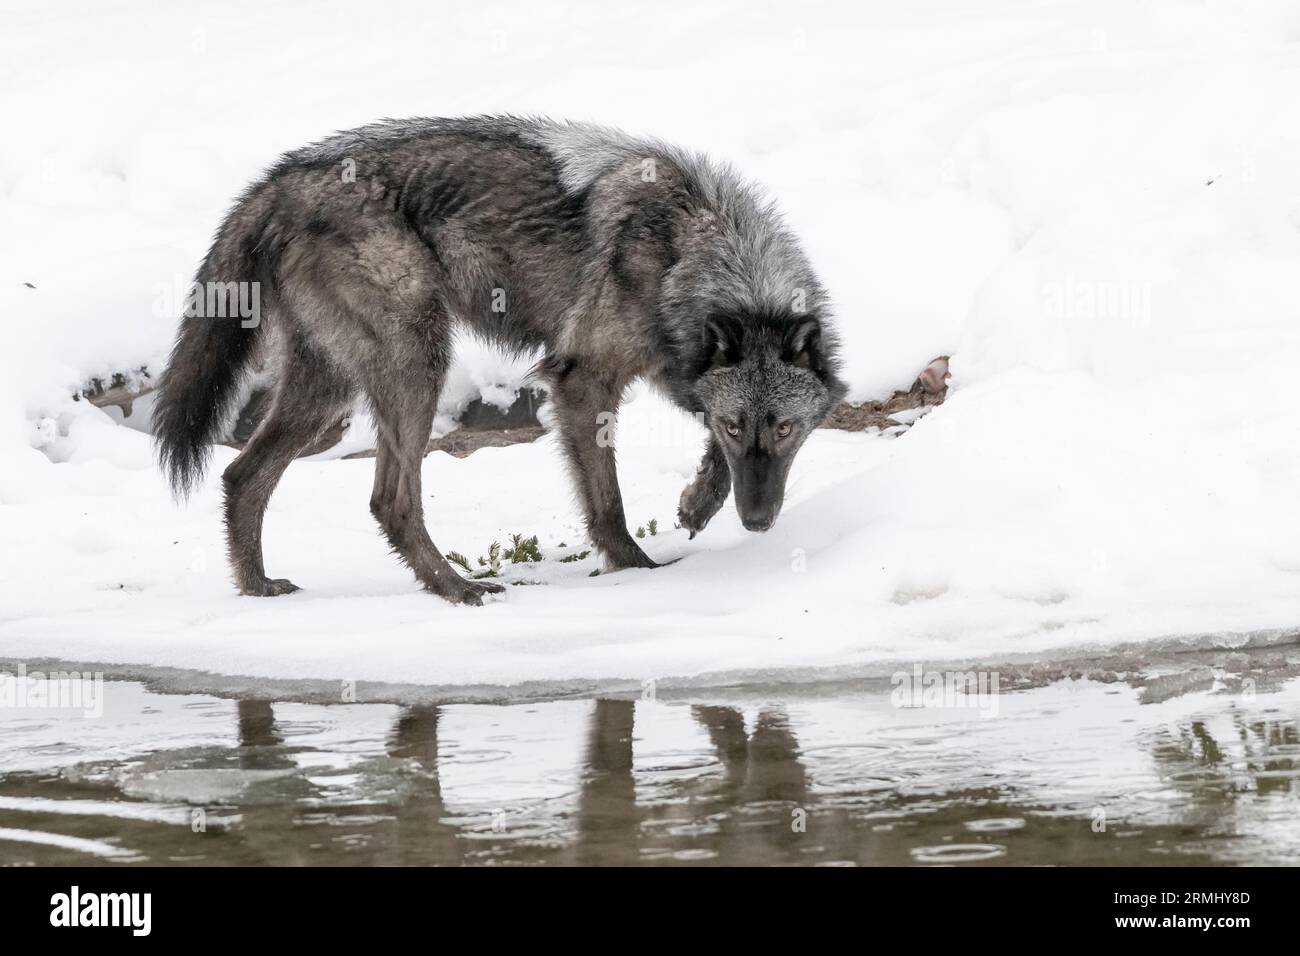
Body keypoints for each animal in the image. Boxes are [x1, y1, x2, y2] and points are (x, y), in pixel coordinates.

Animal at [153, 117, 847, 604]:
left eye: (786, 429)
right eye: (739, 425)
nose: (758, 524)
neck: (690, 252)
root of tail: (280, 182)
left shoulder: (684, 379)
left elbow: (712, 455)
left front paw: (698, 504)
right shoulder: (582, 382)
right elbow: (609, 503)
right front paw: (638, 572)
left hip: (327, 388)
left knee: (241, 477)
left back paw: (258, 591)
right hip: (418, 363)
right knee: (388, 500)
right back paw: (456, 590)